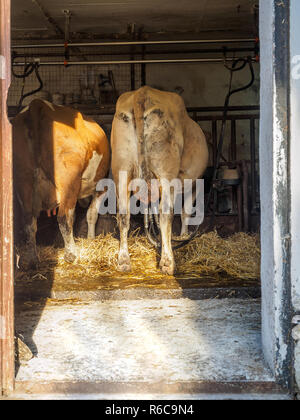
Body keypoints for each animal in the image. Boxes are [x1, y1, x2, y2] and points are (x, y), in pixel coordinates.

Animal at [12, 100, 110, 268]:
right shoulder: (101, 186)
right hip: (69, 179)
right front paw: (91, 239)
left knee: (29, 220)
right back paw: (71, 255)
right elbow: (91, 214)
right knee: (64, 217)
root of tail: (39, 104)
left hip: (23, 178)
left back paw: (32, 258)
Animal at [111, 85, 207, 276]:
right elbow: (185, 211)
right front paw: (183, 235)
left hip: (121, 168)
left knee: (123, 214)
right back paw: (168, 263)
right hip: (165, 171)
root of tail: (142, 92)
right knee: (165, 212)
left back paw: (124, 261)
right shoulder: (196, 183)